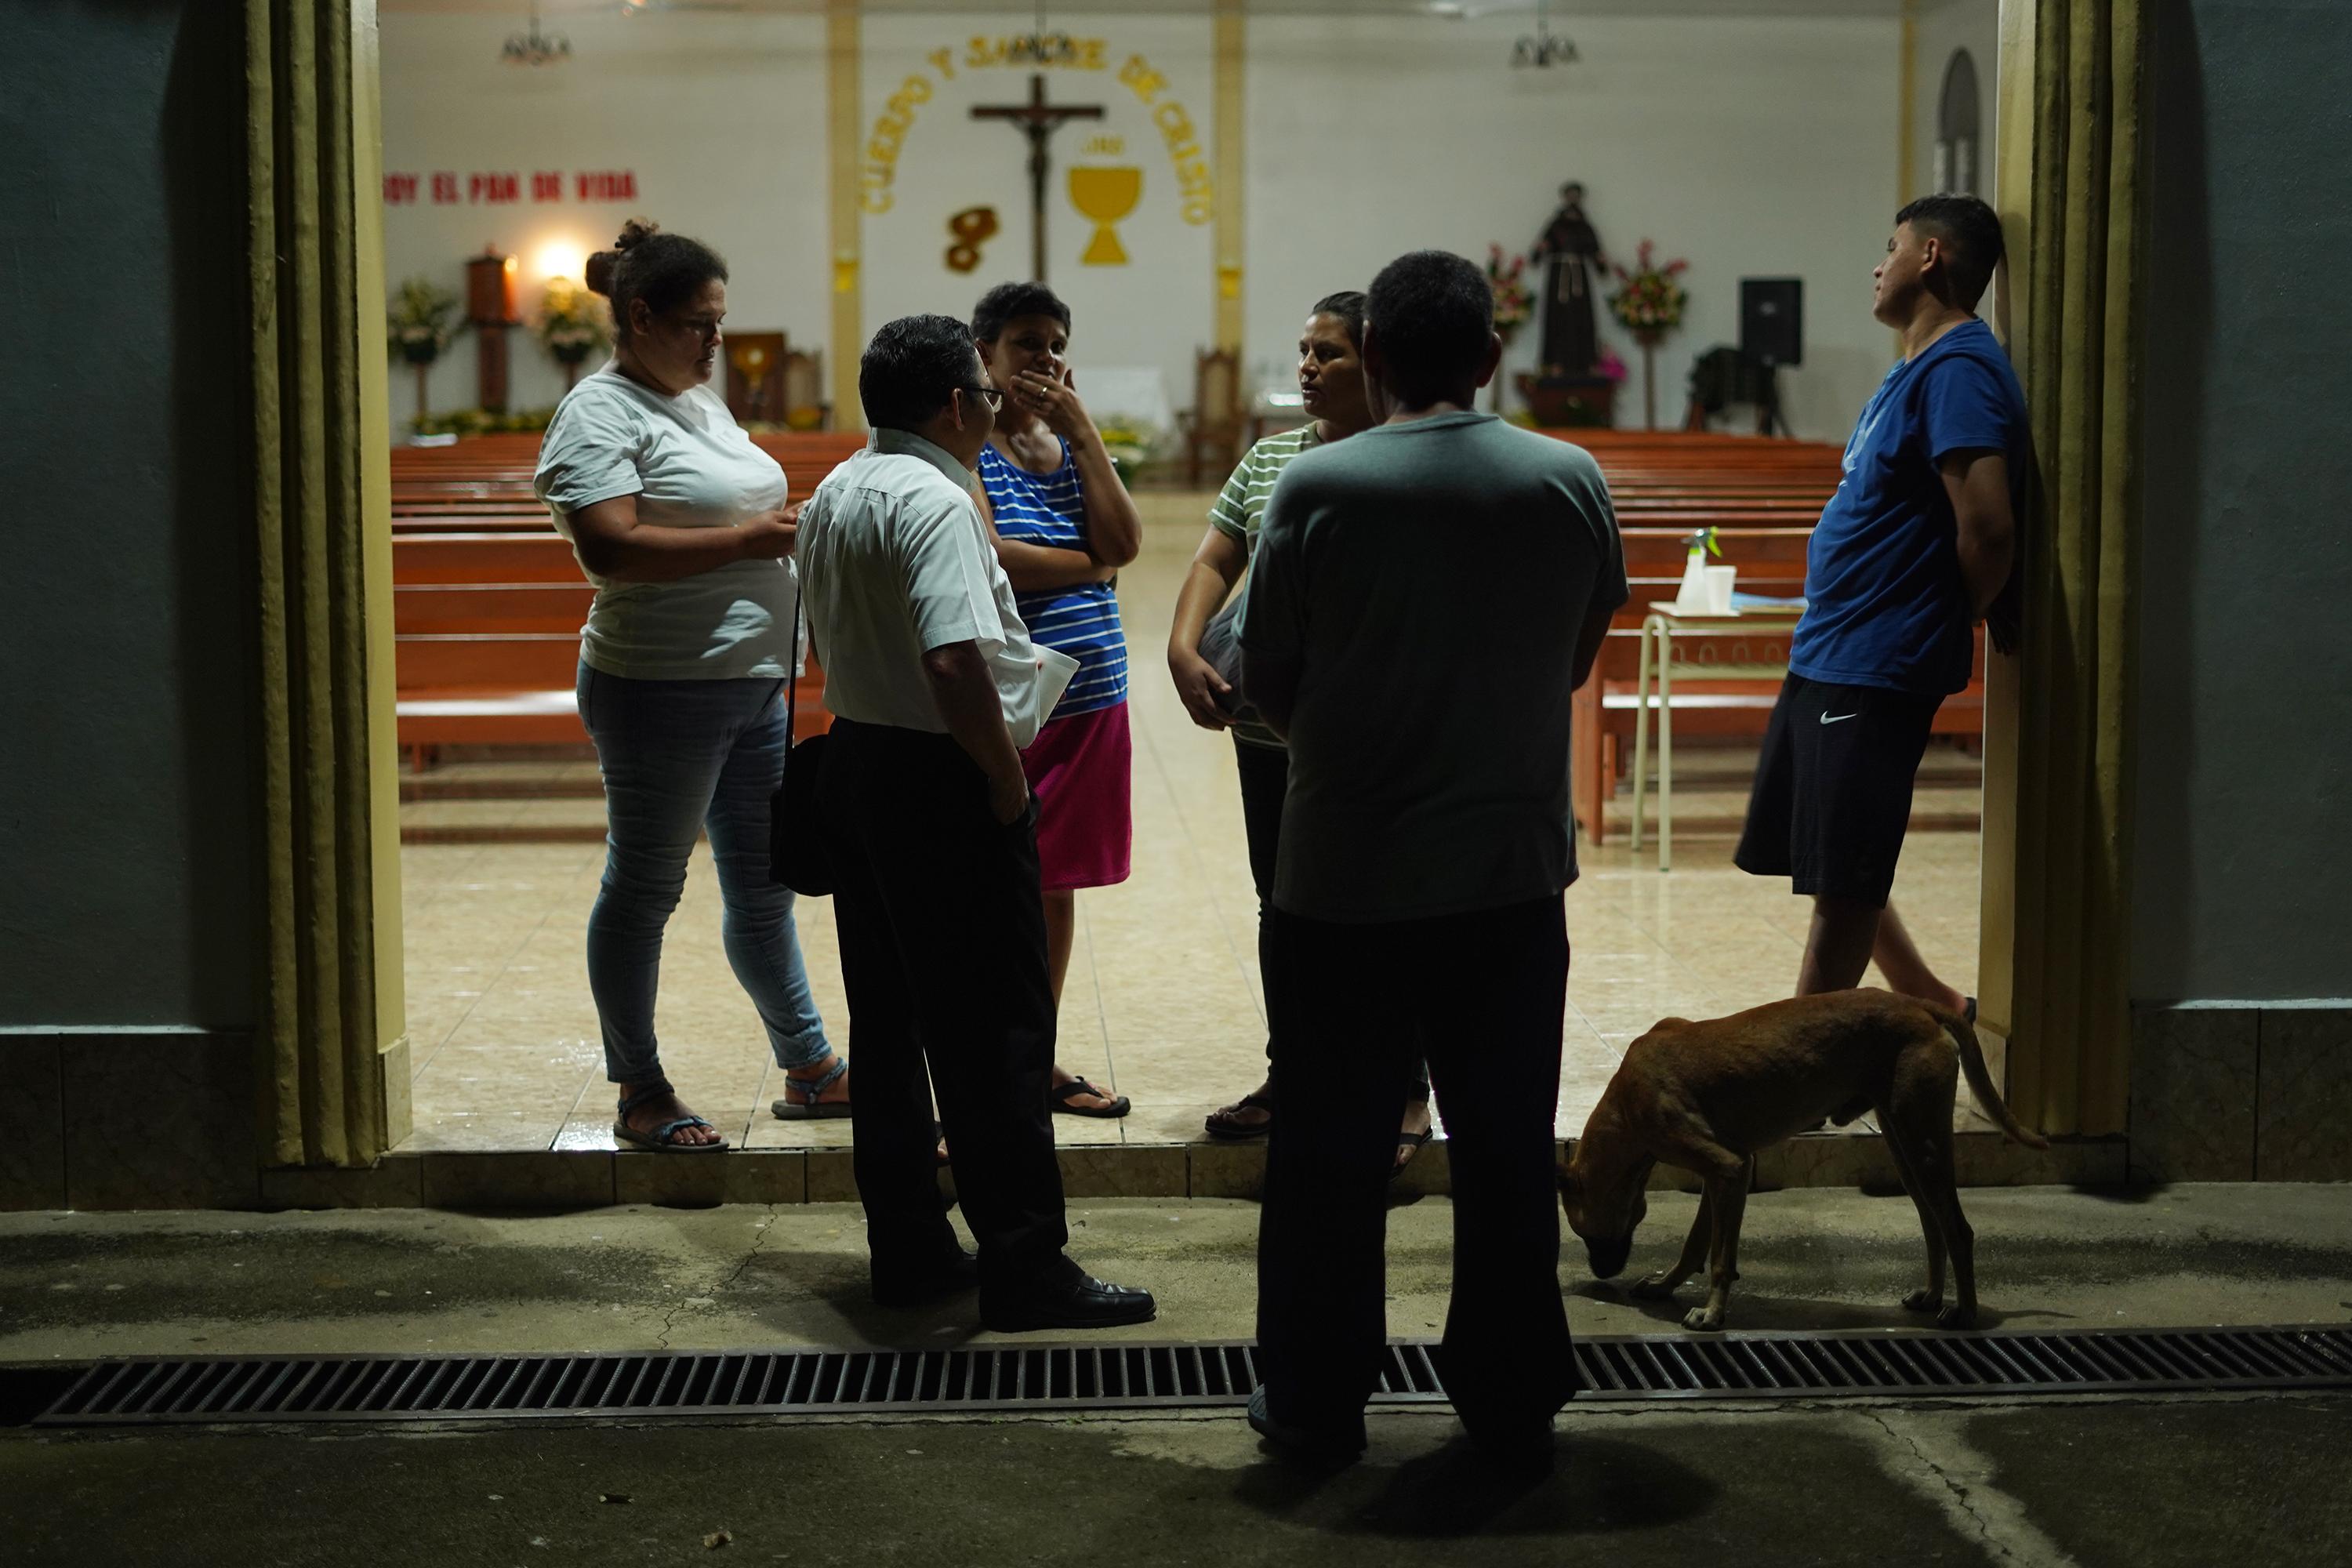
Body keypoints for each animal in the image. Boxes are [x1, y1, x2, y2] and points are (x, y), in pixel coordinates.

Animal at [1562, 987, 2042, 1335]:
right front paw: (1667, 1285)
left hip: (1923, 1144)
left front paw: (1713, 1314)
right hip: (1904, 1148)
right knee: (1933, 1223)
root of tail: (1917, 1004)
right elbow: (1696, 1244)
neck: (1625, 1104)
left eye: (1585, 1232)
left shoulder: (1729, 1168)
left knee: (1957, 1228)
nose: (1601, 1274)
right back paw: (1931, 1296)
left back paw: (1965, 1312)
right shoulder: (1724, 1174)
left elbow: (1719, 1258)